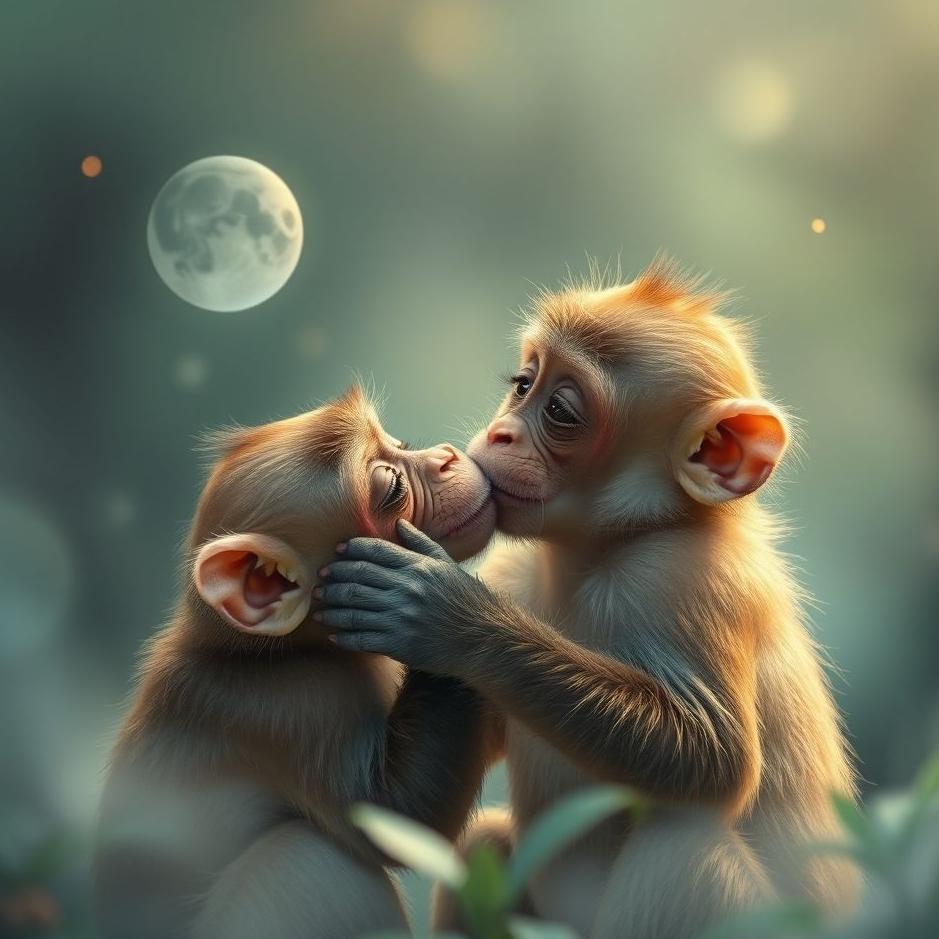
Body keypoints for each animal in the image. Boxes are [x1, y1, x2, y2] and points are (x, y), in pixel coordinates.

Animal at [94, 384, 501, 939]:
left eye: (401, 444)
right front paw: (436, 612)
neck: (269, 649)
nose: (445, 457)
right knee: (307, 858)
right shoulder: (292, 701)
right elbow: (398, 815)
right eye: (393, 490)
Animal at [315, 257, 860, 938]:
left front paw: (447, 617)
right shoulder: (516, 570)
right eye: (522, 384)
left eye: (560, 411)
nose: (500, 434)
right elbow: (401, 814)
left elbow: (713, 757)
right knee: (488, 842)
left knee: (679, 844)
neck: (600, 553)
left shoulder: (684, 575)